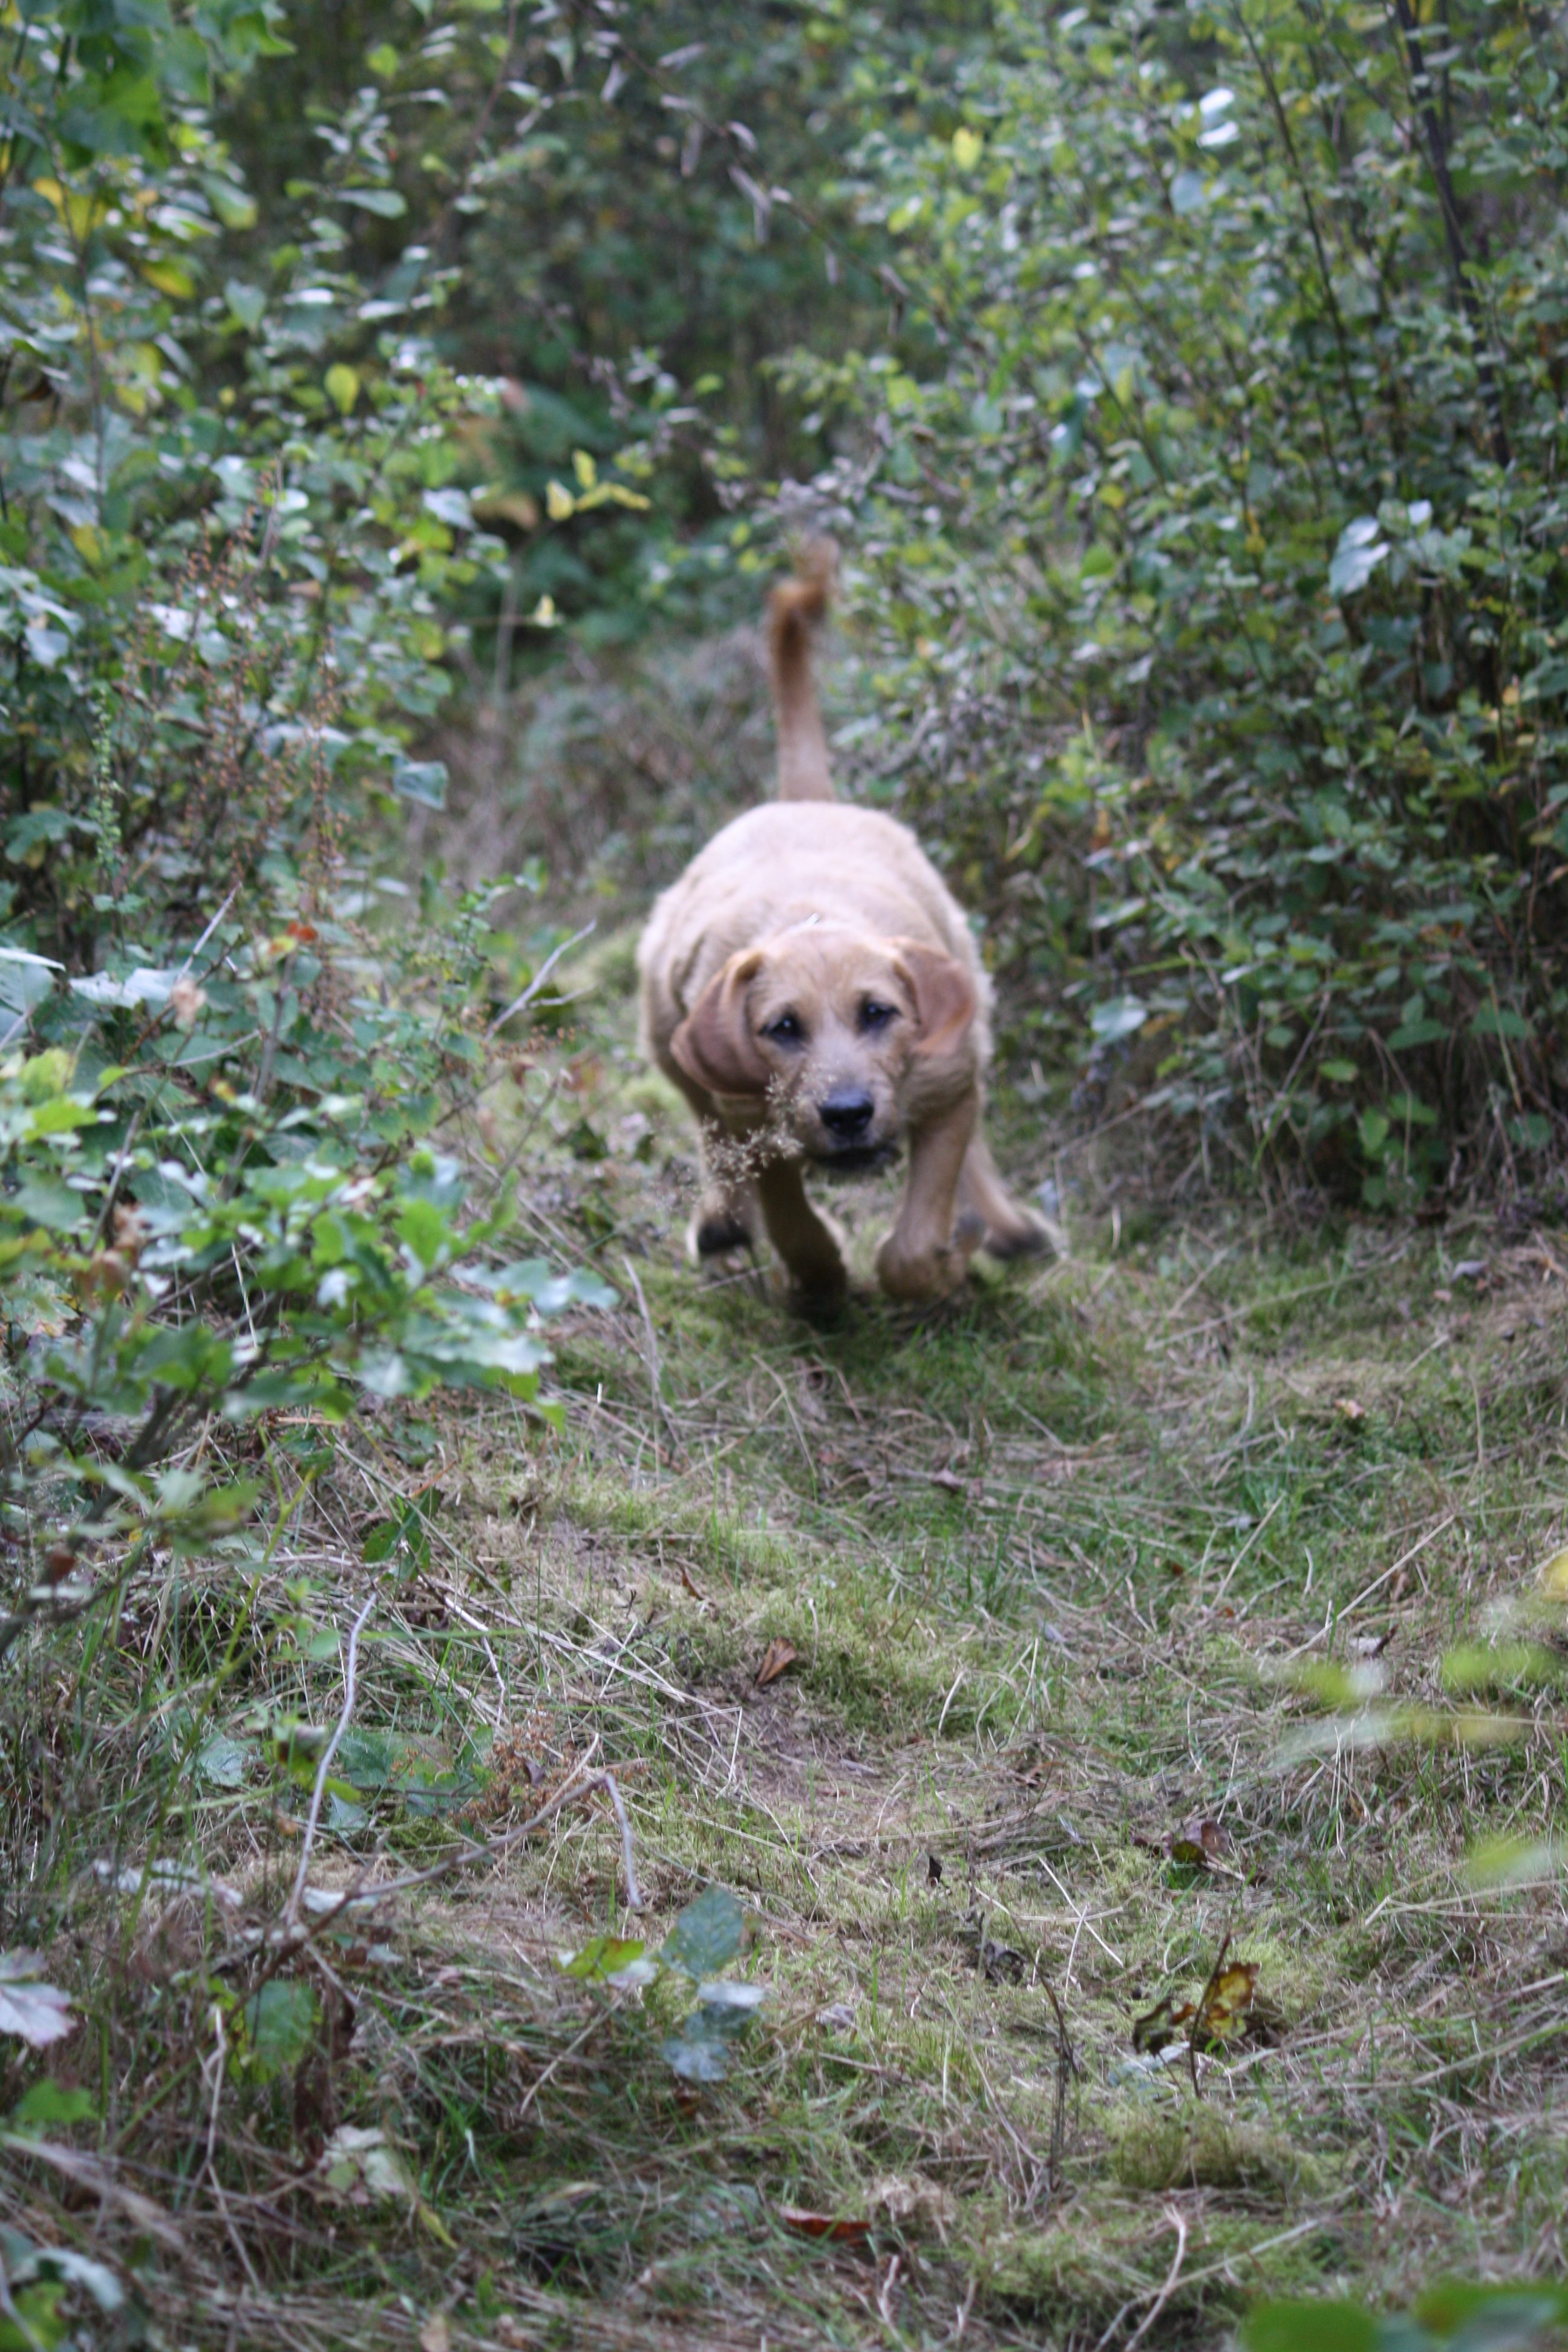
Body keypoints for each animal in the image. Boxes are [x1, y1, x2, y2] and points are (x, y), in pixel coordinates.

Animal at [637, 545, 1049, 1308]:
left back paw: (1004, 1228)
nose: (849, 1114)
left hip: (967, 1017)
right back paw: (722, 1229)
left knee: (973, 1138)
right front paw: (820, 1283)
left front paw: (943, 1264)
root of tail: (802, 799)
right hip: (667, 1040)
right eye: (782, 1029)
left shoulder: (947, 1087)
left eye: (878, 1013)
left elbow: (920, 1228)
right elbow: (792, 1222)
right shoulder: (751, 1119)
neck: (813, 918)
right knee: (710, 1142)